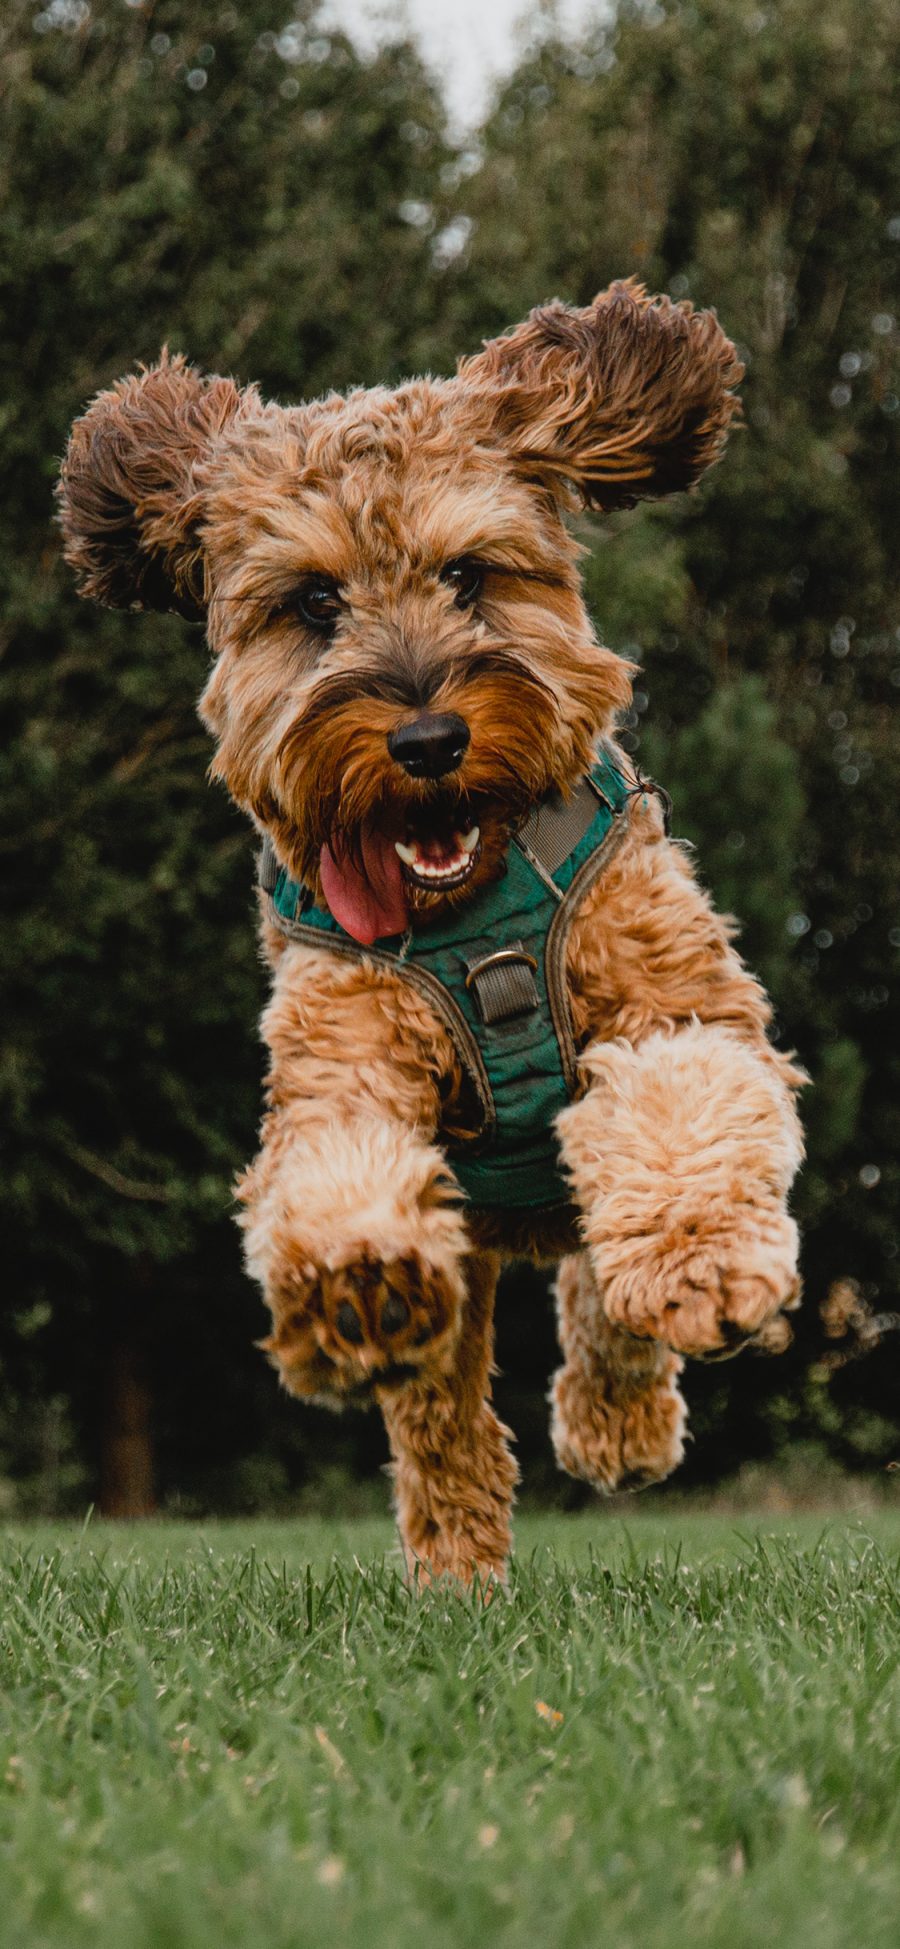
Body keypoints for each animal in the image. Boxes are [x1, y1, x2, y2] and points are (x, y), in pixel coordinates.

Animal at [59, 278, 806, 1582]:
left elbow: (681, 1111)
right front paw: (355, 1277)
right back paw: (455, 1555)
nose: (425, 739)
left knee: (599, 1288)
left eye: (469, 574)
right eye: (314, 602)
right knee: (442, 1408)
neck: (474, 911)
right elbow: (338, 1167)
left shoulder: (679, 1006)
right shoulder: (343, 1063)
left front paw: (703, 1260)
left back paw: (617, 1422)